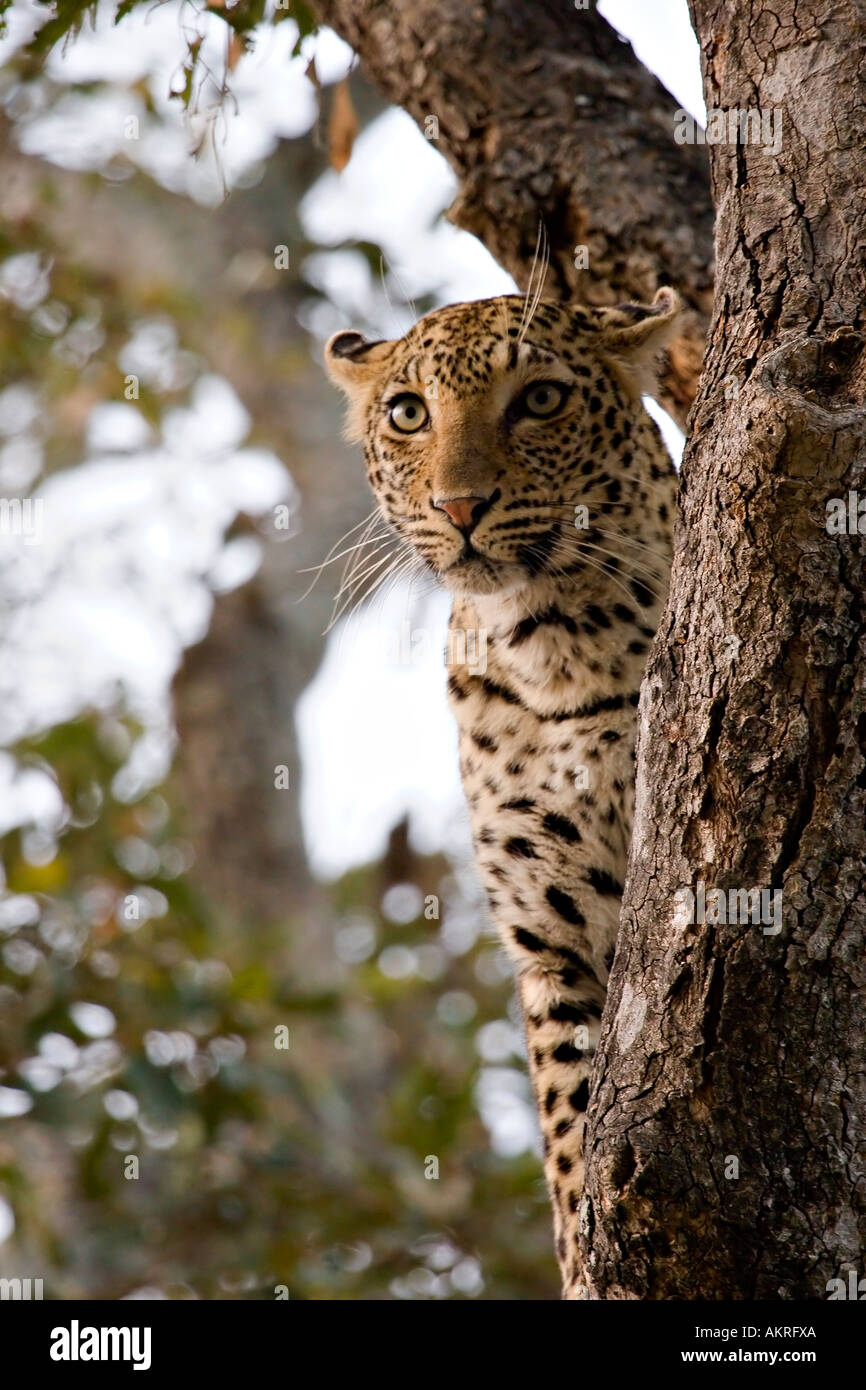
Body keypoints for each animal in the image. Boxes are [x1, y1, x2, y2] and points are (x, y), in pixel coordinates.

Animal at [325, 285, 680, 1299]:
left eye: (542, 400)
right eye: (409, 413)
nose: (459, 505)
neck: (553, 646)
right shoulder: (554, 947)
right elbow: (570, 1130)